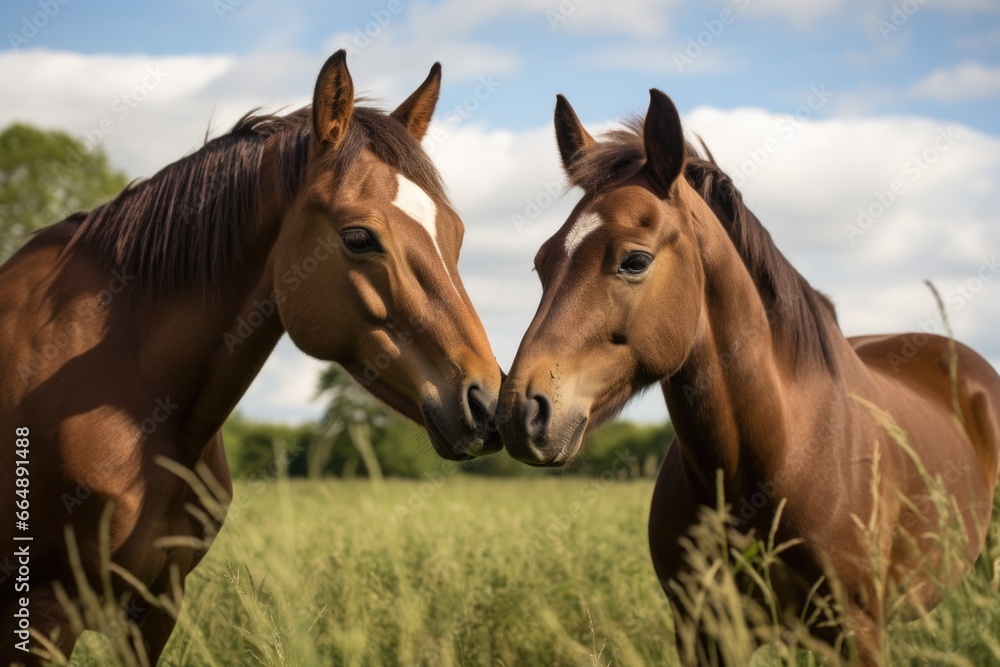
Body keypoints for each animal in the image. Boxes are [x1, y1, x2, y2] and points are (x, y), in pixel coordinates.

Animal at [498, 89, 1000, 664]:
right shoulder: (703, 632)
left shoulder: (859, 633)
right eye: (542, 262)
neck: (775, 458)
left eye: (634, 261)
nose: (519, 412)